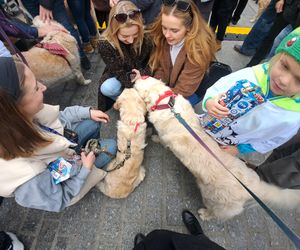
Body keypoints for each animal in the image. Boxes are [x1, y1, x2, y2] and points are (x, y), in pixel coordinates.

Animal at [134, 76, 300, 221]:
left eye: (139, 82)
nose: (133, 74)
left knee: (216, 214)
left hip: (216, 201)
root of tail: (255, 187)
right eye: (145, 76)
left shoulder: (165, 136)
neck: (167, 104)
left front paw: (155, 139)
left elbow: (161, 139)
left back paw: (205, 214)